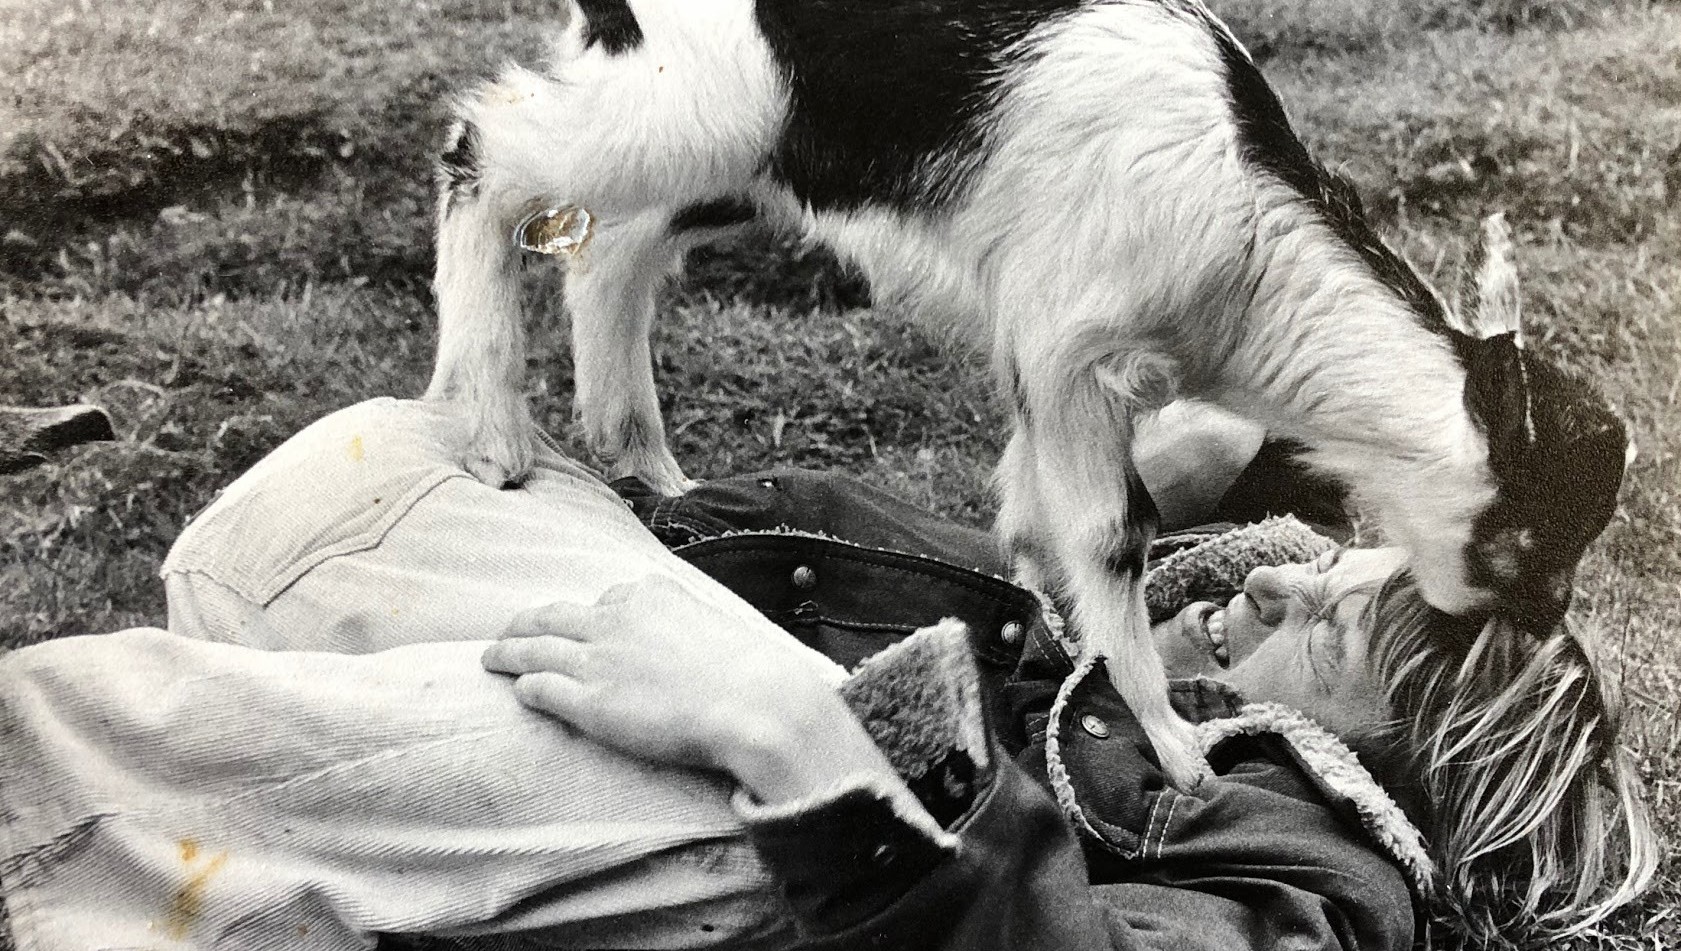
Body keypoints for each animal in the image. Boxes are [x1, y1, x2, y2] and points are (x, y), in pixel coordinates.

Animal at [420, 0, 1627, 789]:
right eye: (1530, 530)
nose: (1536, 623)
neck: (1244, 253)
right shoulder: (1069, 343)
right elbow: (1111, 528)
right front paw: (1175, 744)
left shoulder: (1047, 357)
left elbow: (1031, 500)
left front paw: (1042, 621)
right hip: (701, 102)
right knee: (487, 148)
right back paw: (486, 428)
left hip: (749, 151)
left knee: (613, 246)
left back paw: (641, 458)